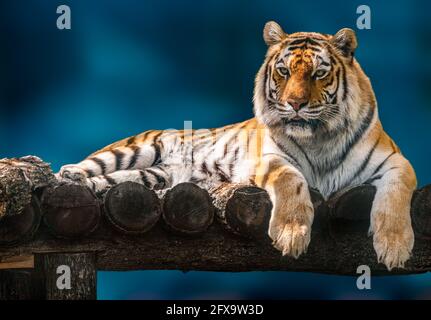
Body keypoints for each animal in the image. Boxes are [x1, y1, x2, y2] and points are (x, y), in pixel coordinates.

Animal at [58, 20, 418, 270]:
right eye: (283, 71)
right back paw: (67, 175)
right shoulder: (269, 158)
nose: (295, 104)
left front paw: (395, 246)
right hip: (137, 149)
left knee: (109, 182)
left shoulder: (397, 162)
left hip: (151, 176)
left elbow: (396, 193)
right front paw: (291, 235)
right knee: (88, 165)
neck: (320, 138)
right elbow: (292, 181)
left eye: (318, 74)